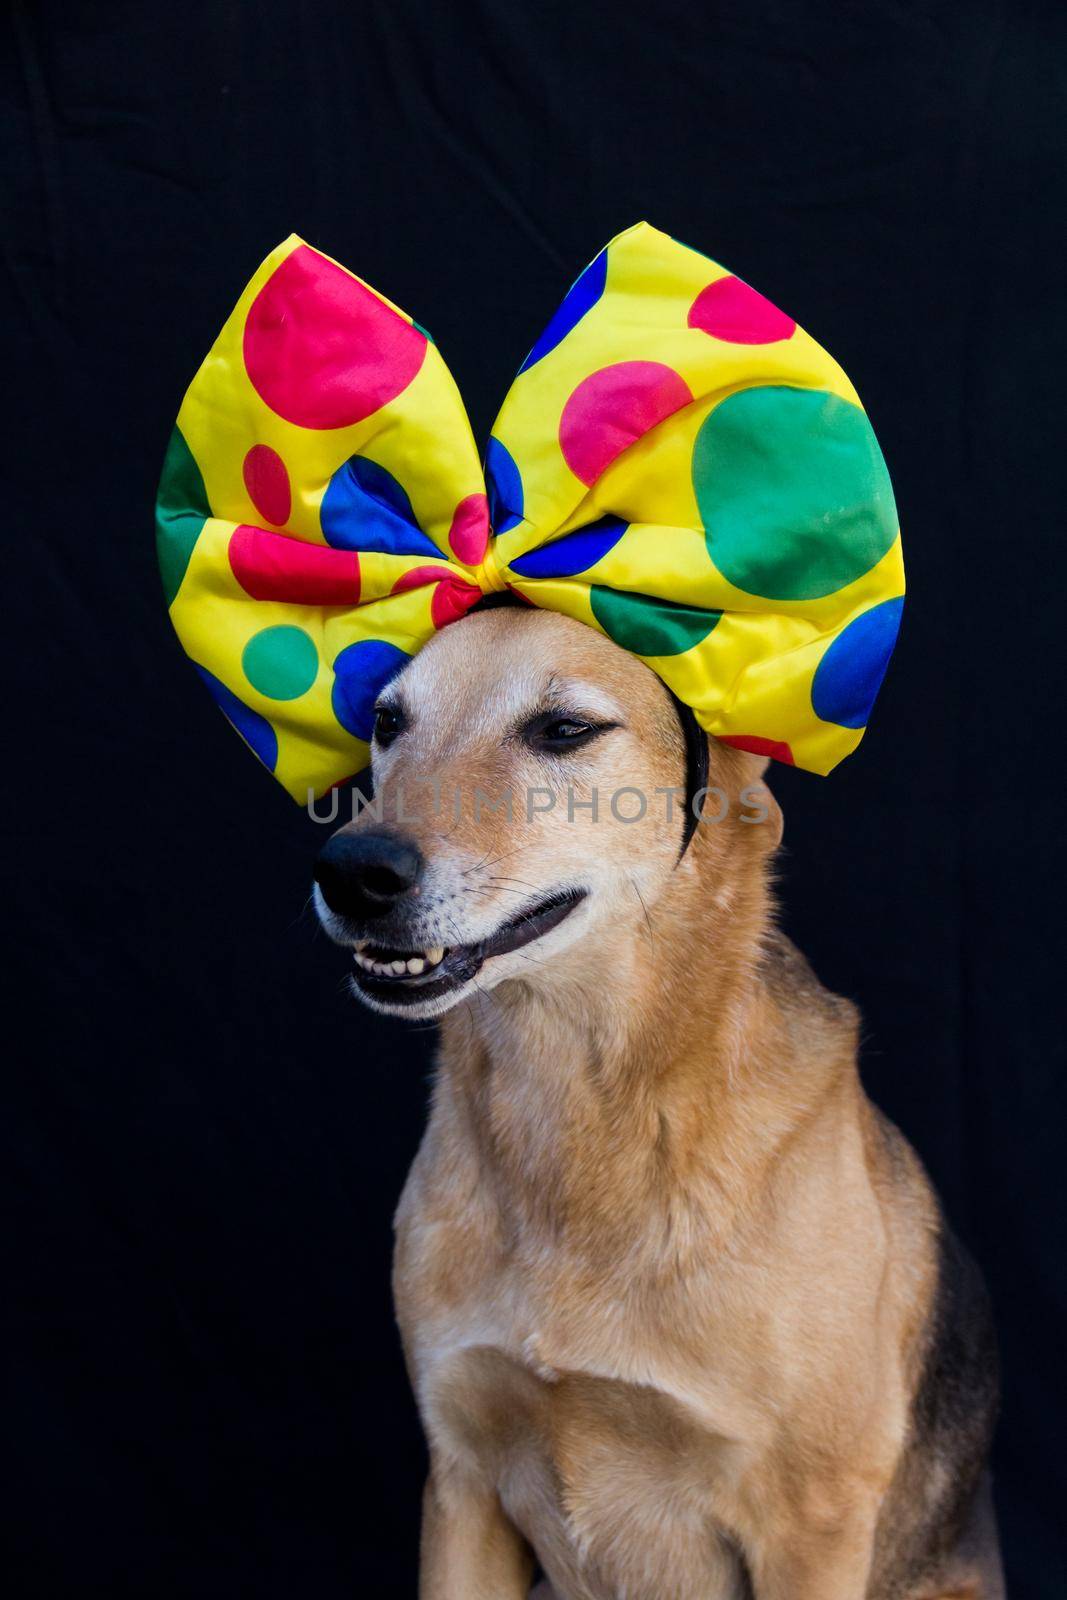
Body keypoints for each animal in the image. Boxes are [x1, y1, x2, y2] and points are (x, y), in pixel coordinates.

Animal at [313, 601, 1004, 1600]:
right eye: (386, 722)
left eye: (564, 730)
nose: (350, 870)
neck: (582, 1109)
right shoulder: (460, 1486)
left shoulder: (811, 1524)